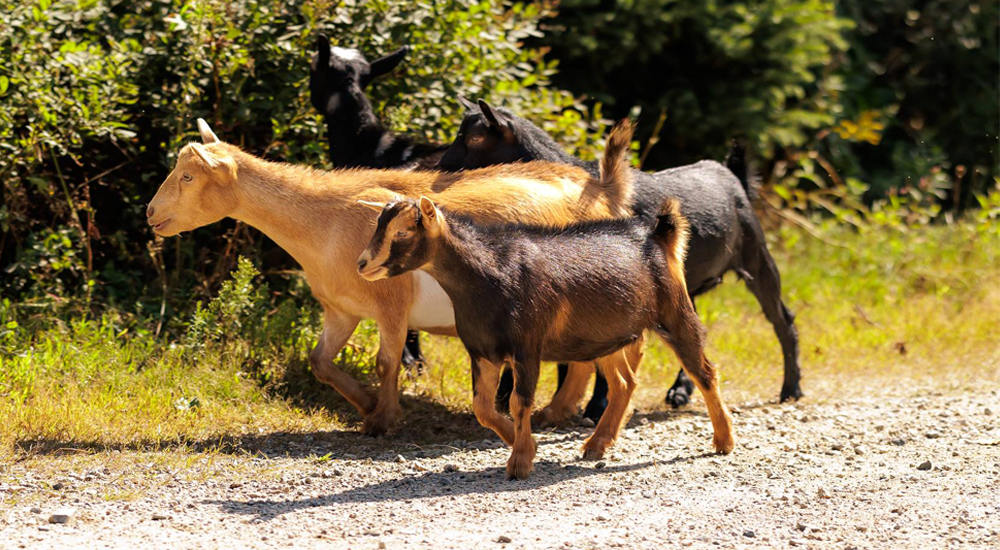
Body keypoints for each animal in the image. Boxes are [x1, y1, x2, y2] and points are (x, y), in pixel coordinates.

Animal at [146, 119, 632, 436]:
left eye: (187, 176)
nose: (151, 213)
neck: (325, 218)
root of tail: (604, 191)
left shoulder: (391, 304)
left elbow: (387, 361)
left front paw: (384, 418)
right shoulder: (341, 309)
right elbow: (320, 362)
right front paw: (365, 404)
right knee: (584, 359)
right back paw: (557, 413)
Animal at [355, 158, 736, 479]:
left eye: (402, 231)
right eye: (377, 226)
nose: (362, 264)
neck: (491, 274)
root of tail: (659, 234)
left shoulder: (527, 347)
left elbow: (518, 402)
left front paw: (520, 462)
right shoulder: (482, 350)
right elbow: (483, 407)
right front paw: (524, 444)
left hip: (675, 314)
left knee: (704, 372)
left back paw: (724, 441)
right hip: (607, 334)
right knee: (624, 382)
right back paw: (597, 445)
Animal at [438, 99, 802, 422]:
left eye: (473, 140)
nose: (436, 169)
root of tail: (730, 173)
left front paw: (594, 408)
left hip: (756, 257)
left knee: (782, 320)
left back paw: (791, 388)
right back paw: (680, 391)